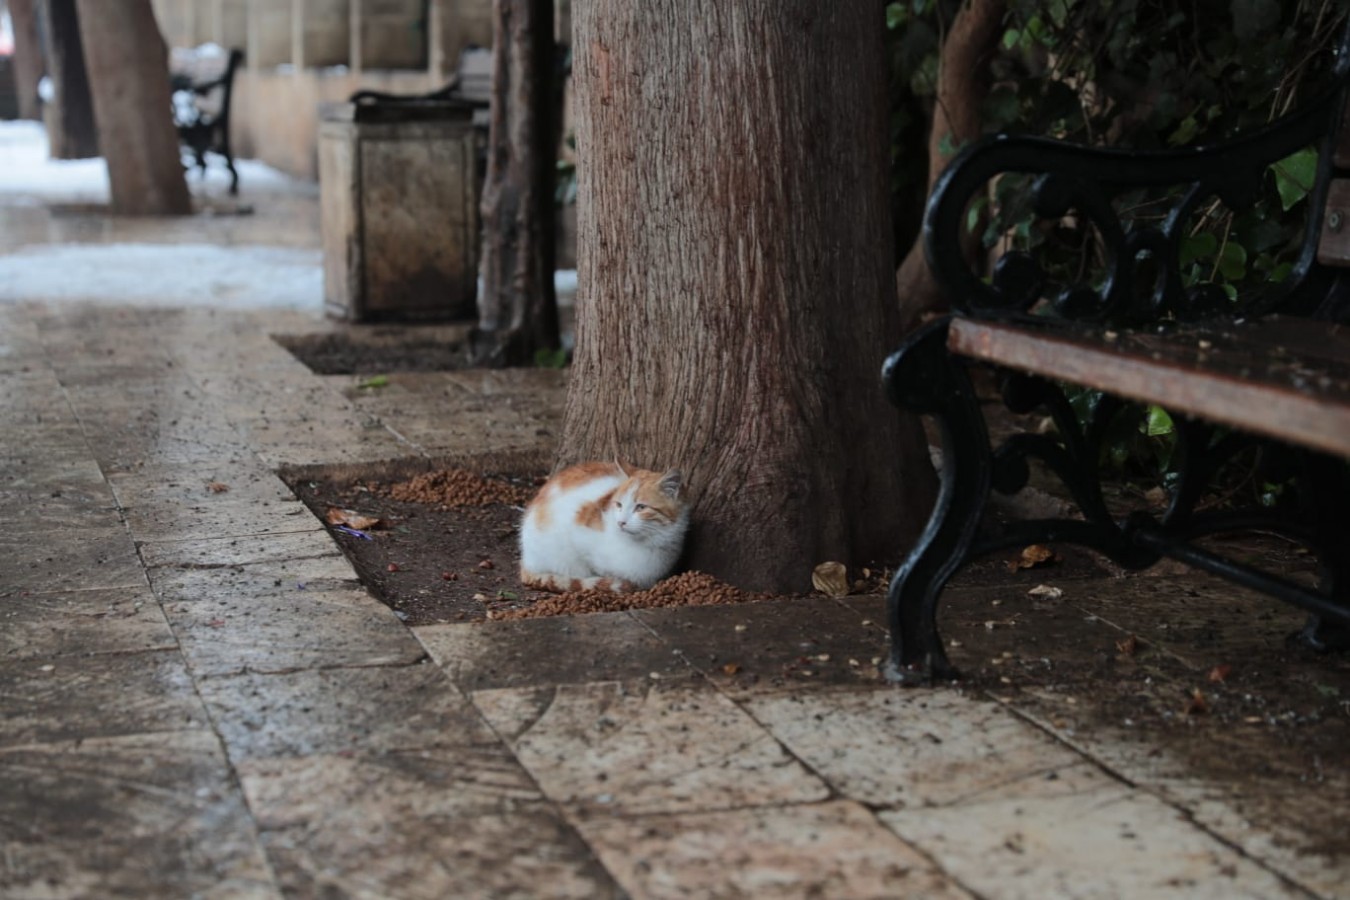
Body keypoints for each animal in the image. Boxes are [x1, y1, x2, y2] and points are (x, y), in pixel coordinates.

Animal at [515, 461, 685, 593]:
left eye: (641, 507)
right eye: (619, 505)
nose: (620, 522)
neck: (645, 543)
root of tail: (525, 560)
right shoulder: (576, 531)